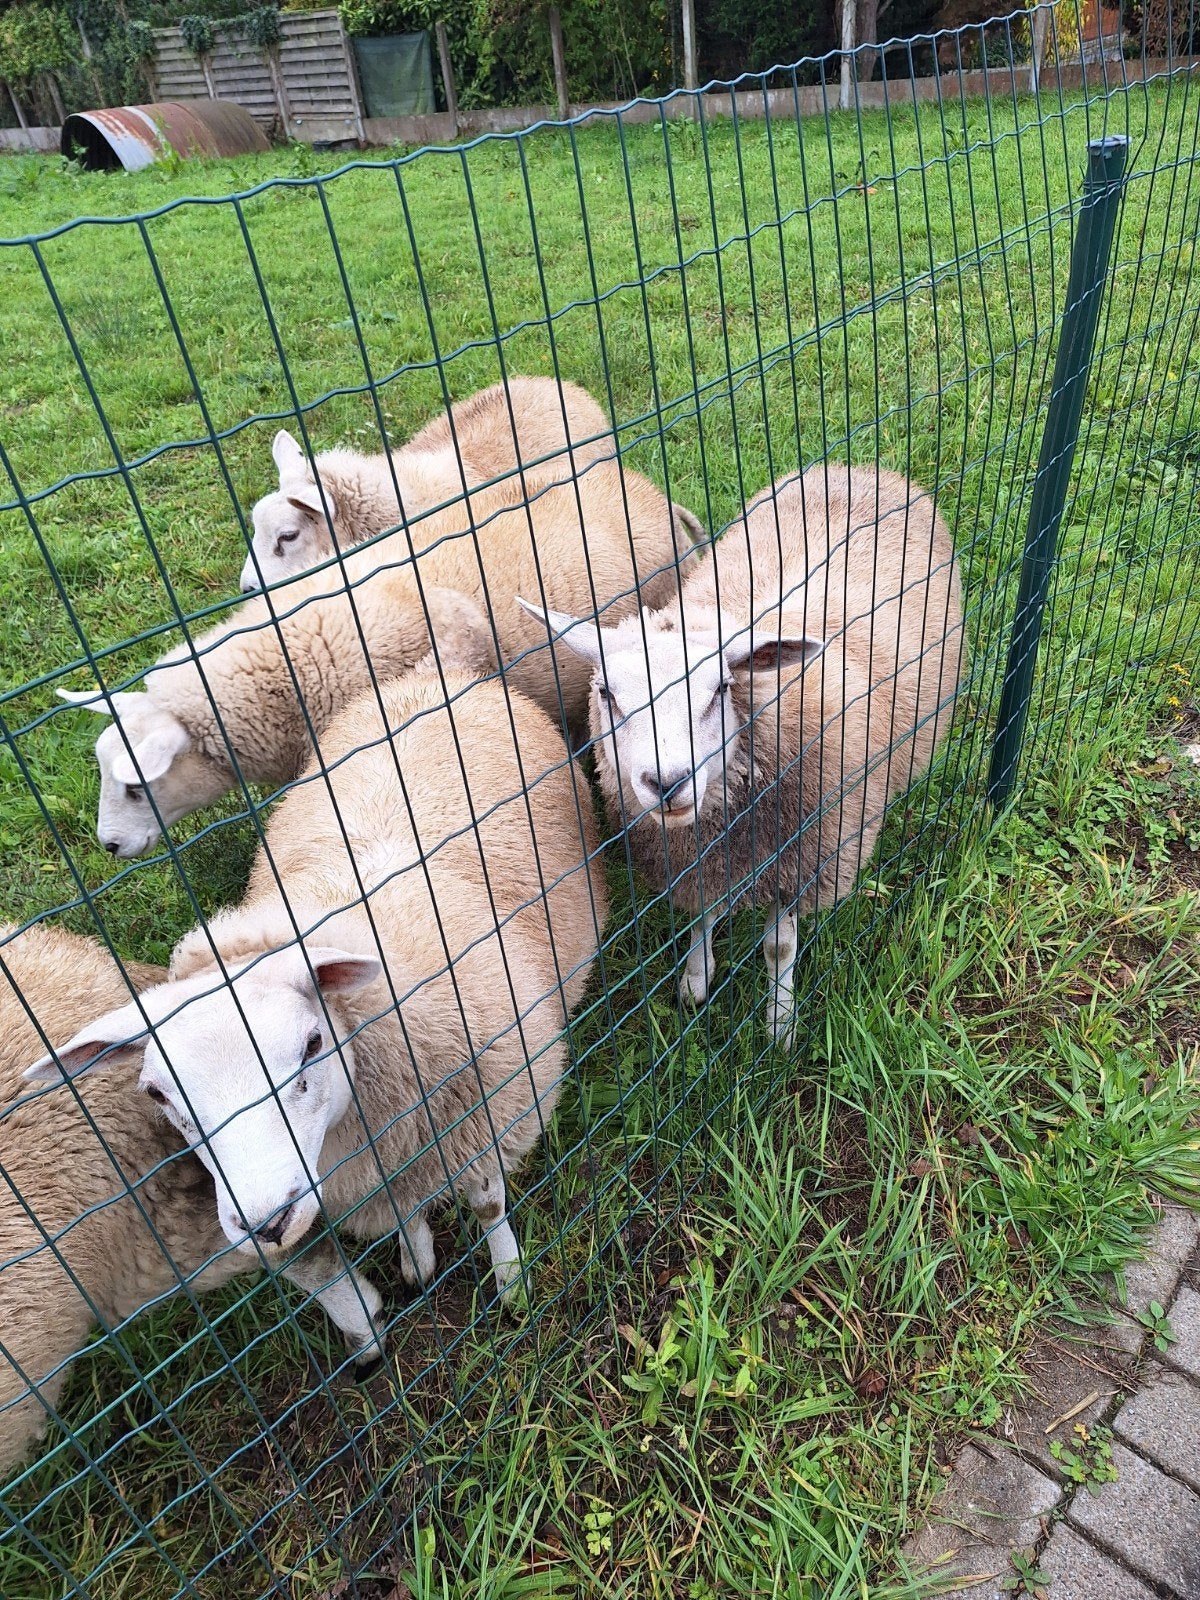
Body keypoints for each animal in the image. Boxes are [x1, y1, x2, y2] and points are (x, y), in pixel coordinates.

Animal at [30, 668, 606, 1323]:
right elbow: (406, 1215)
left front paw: (512, 1282)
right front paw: (417, 1260)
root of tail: (439, 678)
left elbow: (489, 1208)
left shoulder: (491, 1115)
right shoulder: (381, 1169)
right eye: (156, 1093)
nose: (268, 1224)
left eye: (311, 1044)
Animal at [520, 462, 965, 1041]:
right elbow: (701, 917)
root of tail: (862, 468)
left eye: (721, 689)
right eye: (605, 693)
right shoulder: (697, 863)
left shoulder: (803, 861)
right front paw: (695, 980)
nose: (667, 783)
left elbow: (778, 948)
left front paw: (780, 1022)